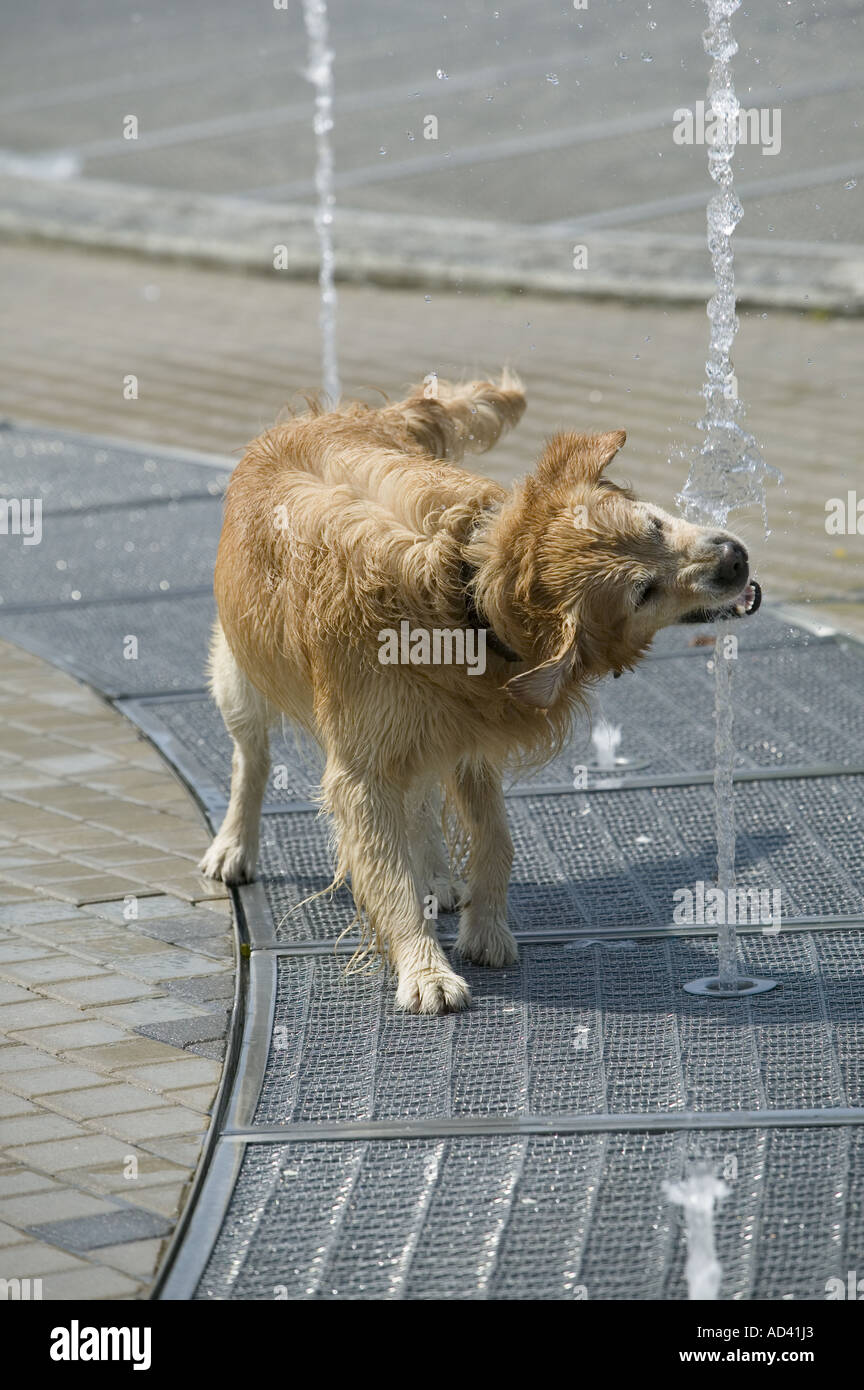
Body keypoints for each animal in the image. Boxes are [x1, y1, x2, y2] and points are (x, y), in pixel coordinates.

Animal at [200, 375, 761, 1017]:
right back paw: (234, 846)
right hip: (240, 675)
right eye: (643, 592)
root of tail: (332, 414)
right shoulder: (363, 766)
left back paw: (438, 875)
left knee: (419, 797)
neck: (464, 589)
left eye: (654, 525)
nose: (734, 559)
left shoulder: (470, 733)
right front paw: (424, 968)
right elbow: (387, 873)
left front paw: (486, 927)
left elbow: (495, 840)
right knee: (252, 758)